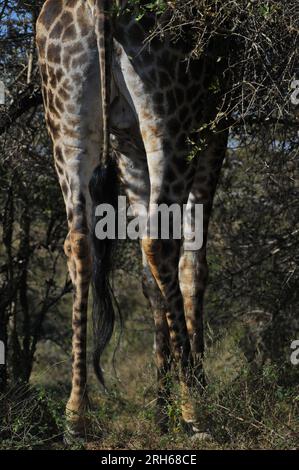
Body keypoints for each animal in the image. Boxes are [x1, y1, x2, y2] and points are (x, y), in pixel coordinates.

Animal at [37, 0, 230, 440]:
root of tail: (99, 6)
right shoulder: (216, 131)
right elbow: (193, 264)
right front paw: (187, 395)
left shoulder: (127, 142)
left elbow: (147, 280)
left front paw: (161, 409)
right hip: (170, 121)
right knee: (160, 245)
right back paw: (197, 410)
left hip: (66, 120)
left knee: (79, 244)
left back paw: (76, 415)